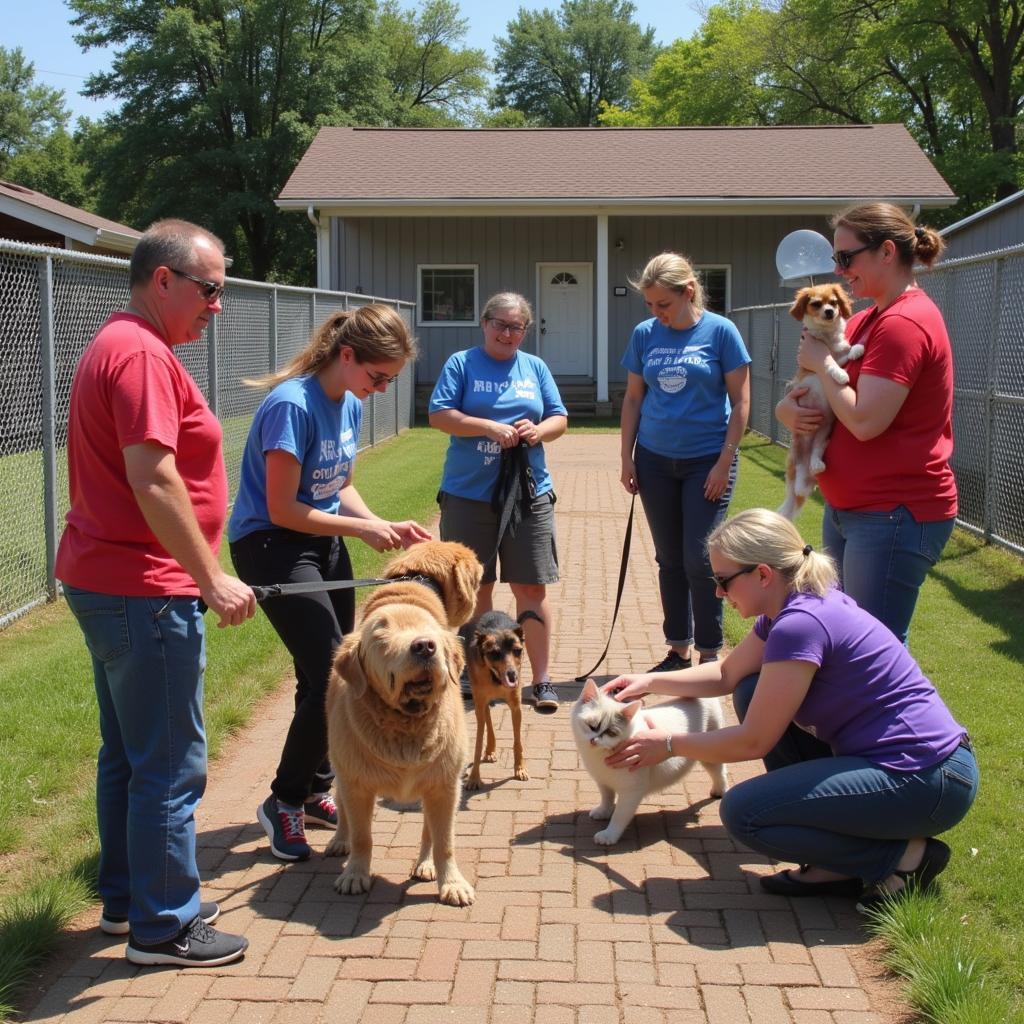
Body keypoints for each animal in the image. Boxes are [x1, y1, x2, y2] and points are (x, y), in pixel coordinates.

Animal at [327, 540, 487, 909]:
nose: (424, 646)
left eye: (430, 632)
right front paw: (355, 874)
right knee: (340, 805)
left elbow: (442, 839)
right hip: (339, 764)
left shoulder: (443, 783)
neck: (407, 722)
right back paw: (339, 840)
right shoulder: (356, 781)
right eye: (381, 635)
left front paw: (449, 880)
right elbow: (363, 836)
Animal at [464, 606, 544, 790]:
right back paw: (490, 750)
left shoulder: (516, 707)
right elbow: (478, 743)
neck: (495, 678)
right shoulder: (479, 704)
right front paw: (474, 778)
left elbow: (518, 742)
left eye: (518, 651)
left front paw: (520, 769)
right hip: (481, 702)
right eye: (494, 653)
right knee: (488, 721)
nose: (512, 674)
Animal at [569, 684, 729, 843]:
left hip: (710, 756)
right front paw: (603, 811)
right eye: (591, 725)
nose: (594, 740)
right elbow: (607, 798)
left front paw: (609, 835)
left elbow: (619, 816)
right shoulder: (603, 782)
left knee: (719, 772)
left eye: (611, 733)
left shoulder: (631, 791)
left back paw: (719, 791)